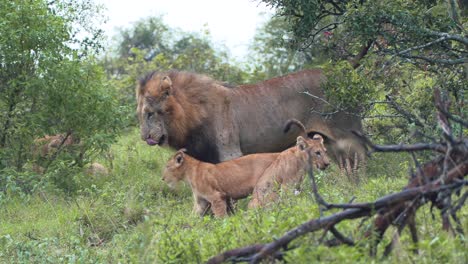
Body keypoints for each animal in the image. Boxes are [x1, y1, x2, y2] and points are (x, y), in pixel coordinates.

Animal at [137, 69, 368, 171]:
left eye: (150, 113)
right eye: (140, 114)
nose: (143, 137)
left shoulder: (230, 152)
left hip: (348, 135)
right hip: (327, 143)